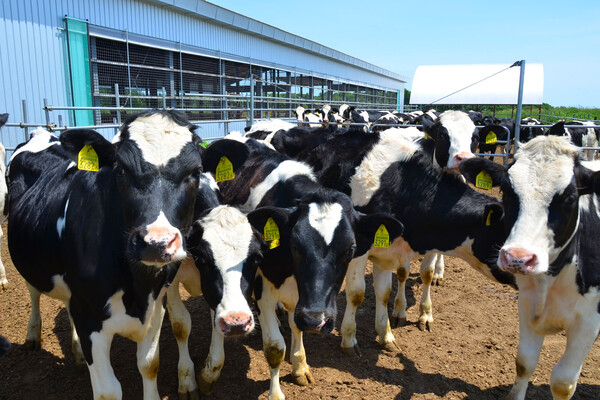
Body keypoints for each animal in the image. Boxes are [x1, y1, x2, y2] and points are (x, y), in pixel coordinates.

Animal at [7, 110, 206, 400]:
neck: (136, 287)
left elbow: (149, 365)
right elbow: (108, 390)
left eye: (196, 171)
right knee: (34, 292)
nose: (156, 243)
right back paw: (33, 335)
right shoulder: (90, 318)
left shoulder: (155, 307)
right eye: (121, 169)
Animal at [207, 137, 403, 399]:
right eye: (295, 245)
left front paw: (299, 366)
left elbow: (296, 326)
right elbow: (274, 347)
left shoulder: (302, 298)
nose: (316, 320)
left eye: (350, 250)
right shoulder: (264, 289)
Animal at [295, 127, 515, 354]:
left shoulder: (386, 248)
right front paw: (349, 340)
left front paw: (386, 335)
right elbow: (356, 292)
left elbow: (385, 292)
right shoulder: (357, 249)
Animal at [459, 135, 600, 400]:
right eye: (506, 191)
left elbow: (563, 381)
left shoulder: (589, 320)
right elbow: (525, 361)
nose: (518, 258)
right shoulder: (526, 301)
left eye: (569, 199)